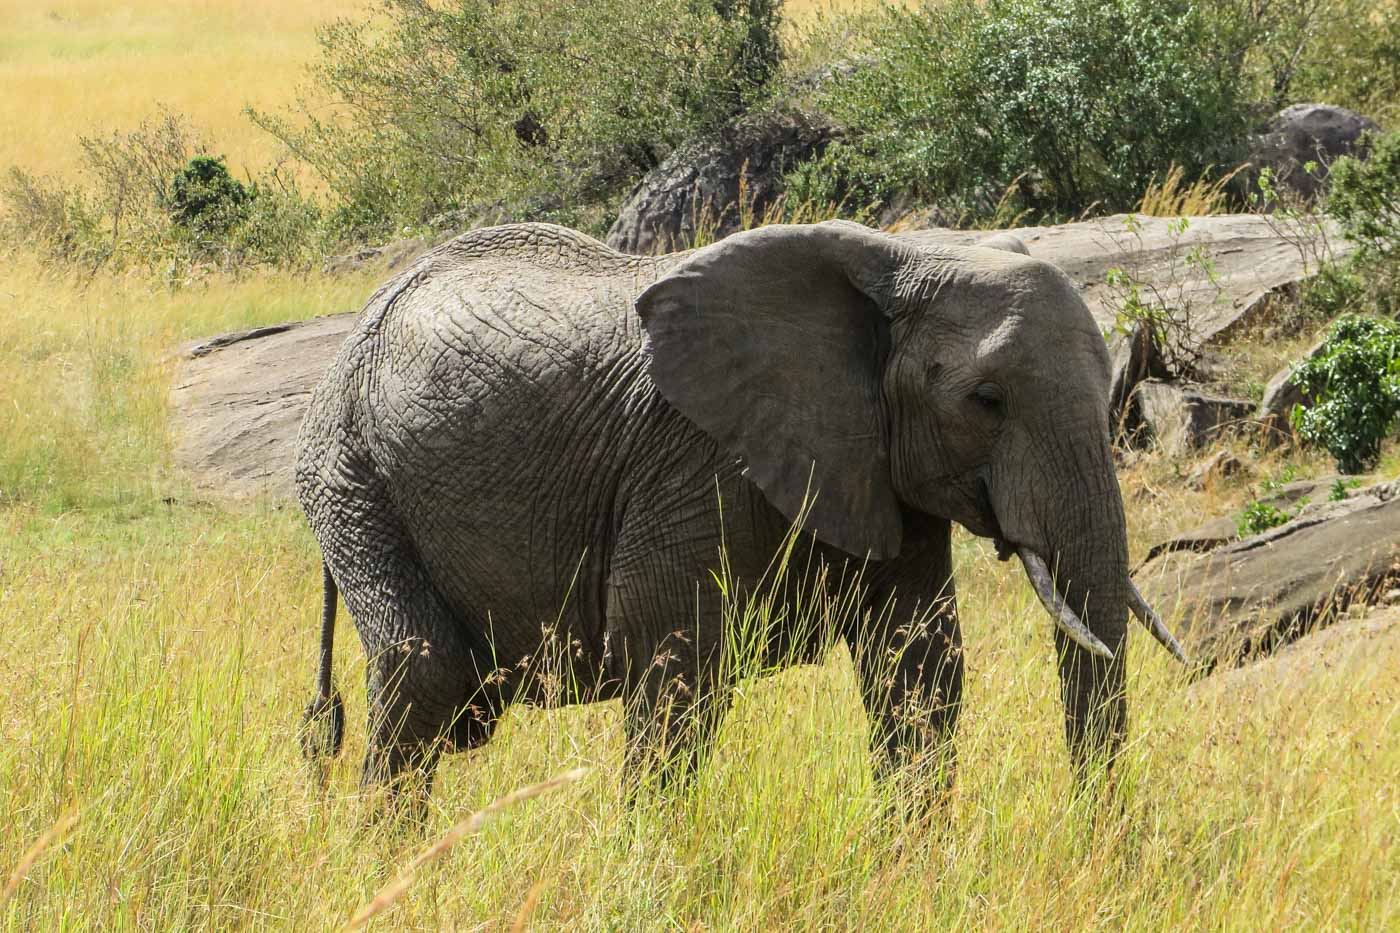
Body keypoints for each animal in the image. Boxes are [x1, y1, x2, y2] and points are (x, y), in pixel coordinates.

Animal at [301, 219, 1187, 801]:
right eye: (987, 400)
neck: (900, 254)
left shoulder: (876, 466)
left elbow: (919, 669)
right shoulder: (692, 463)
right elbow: (674, 668)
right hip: (350, 475)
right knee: (421, 674)